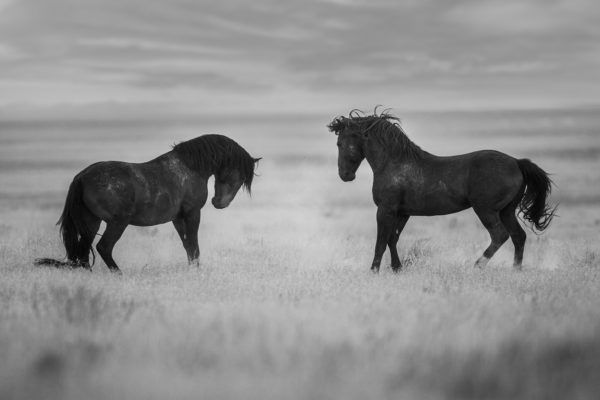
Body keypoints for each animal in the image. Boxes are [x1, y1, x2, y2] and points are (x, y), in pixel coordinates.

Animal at [35, 134, 260, 272]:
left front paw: (192, 269)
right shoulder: (192, 213)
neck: (190, 168)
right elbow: (194, 244)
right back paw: (119, 274)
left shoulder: (178, 218)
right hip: (117, 223)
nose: (219, 203)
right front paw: (197, 270)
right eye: (240, 177)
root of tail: (82, 177)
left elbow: (187, 244)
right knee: (103, 247)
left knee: (83, 253)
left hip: (92, 223)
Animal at [328, 108, 556, 272]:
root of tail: (517, 162)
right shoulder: (402, 213)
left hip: (486, 210)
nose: (345, 175)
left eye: (340, 143)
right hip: (506, 210)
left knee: (500, 235)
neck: (393, 163)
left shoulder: (386, 210)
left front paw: (374, 270)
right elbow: (393, 239)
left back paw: (477, 265)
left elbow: (381, 242)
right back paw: (515, 270)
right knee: (518, 236)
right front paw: (397, 268)